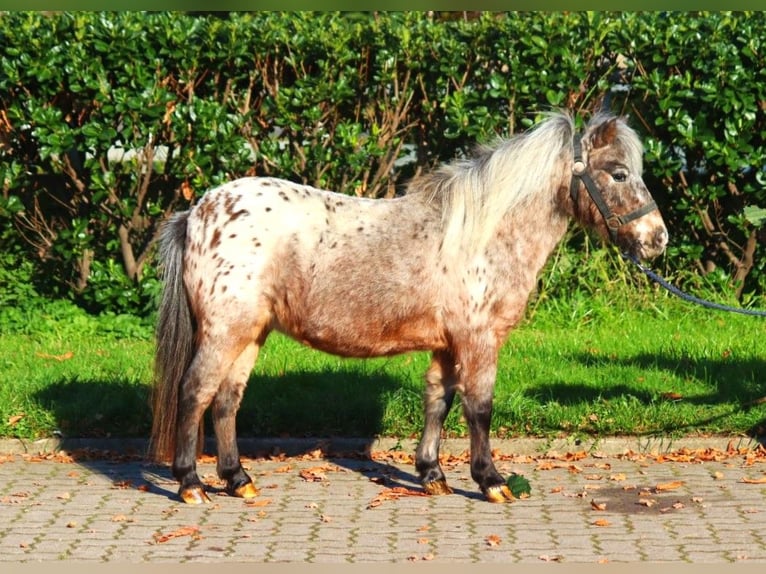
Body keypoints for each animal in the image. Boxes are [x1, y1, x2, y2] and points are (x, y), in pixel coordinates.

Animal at [148, 111, 664, 504]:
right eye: (619, 173)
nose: (657, 239)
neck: (480, 233)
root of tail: (197, 213)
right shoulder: (479, 340)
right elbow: (479, 407)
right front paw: (491, 482)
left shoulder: (448, 344)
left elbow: (438, 400)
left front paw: (432, 474)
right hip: (224, 333)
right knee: (194, 392)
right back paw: (191, 484)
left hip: (250, 334)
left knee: (226, 399)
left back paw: (238, 480)